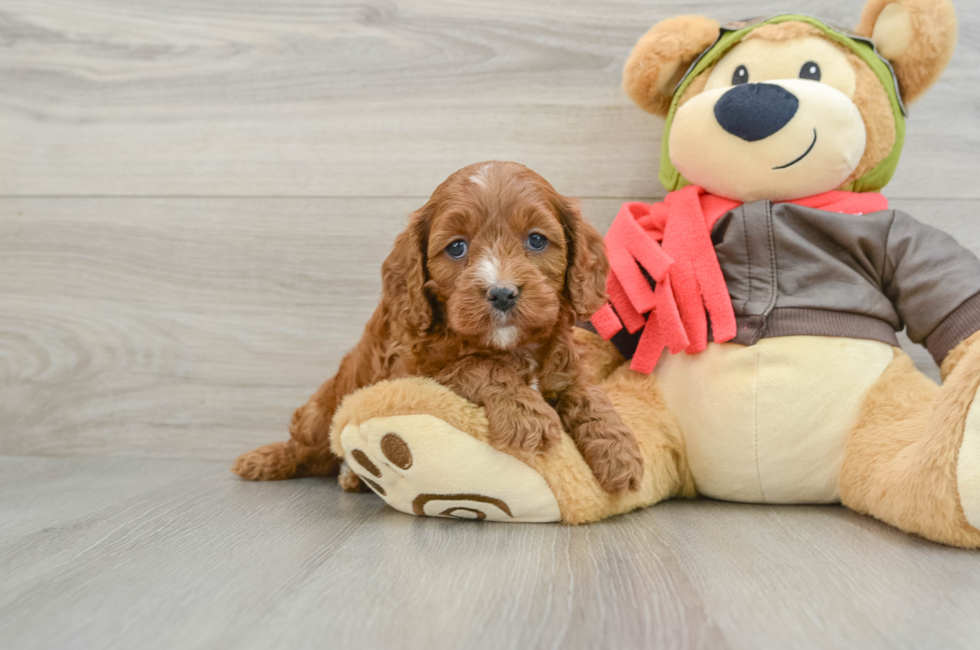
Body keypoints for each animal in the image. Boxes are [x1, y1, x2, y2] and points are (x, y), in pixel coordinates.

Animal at [230, 161, 644, 492]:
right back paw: (264, 461)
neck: (508, 345)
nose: (502, 293)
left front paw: (619, 451)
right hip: (320, 414)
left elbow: (587, 394)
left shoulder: (564, 366)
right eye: (457, 247)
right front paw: (526, 415)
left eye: (537, 240)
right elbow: (476, 365)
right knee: (304, 447)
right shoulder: (413, 371)